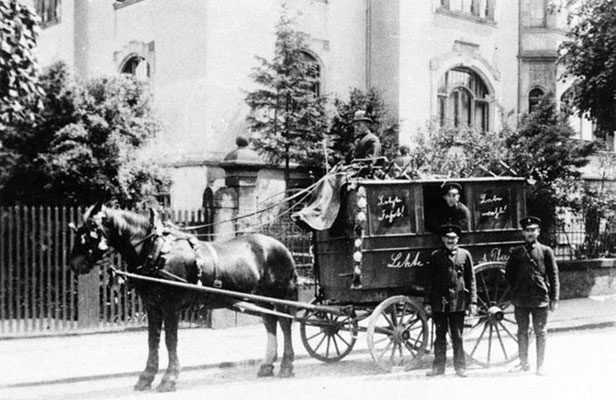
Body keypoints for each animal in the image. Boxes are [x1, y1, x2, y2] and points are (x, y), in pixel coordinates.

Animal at [68, 205, 298, 392]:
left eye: (89, 233)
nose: (74, 263)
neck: (157, 251)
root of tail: (281, 246)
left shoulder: (171, 307)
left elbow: (170, 340)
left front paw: (169, 379)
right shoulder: (152, 306)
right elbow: (152, 340)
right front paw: (146, 377)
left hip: (279, 295)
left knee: (285, 324)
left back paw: (286, 366)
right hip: (261, 297)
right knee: (270, 323)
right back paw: (267, 365)